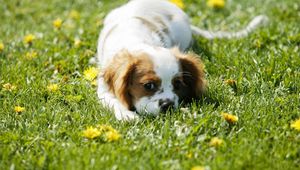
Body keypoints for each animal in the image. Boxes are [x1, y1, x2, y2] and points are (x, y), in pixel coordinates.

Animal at [96, 0, 268, 120]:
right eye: (148, 85)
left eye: (177, 84)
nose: (168, 105)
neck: (137, 40)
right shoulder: (103, 88)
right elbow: (113, 100)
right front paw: (127, 115)